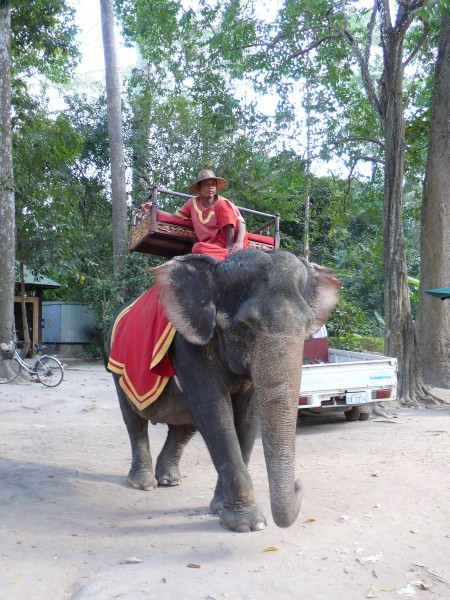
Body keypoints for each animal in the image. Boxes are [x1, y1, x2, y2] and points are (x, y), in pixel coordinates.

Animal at [105, 251, 340, 532]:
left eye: (307, 326)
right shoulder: (189, 344)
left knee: (184, 425)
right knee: (134, 420)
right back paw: (144, 483)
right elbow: (214, 411)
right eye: (246, 325)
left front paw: (219, 508)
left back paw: (170, 479)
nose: (298, 485)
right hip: (116, 368)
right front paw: (248, 524)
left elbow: (247, 419)